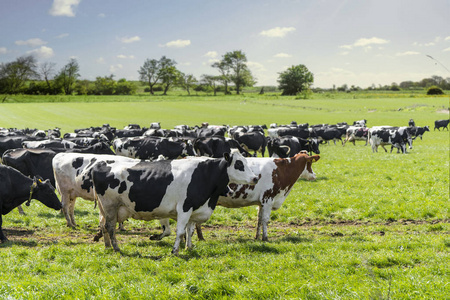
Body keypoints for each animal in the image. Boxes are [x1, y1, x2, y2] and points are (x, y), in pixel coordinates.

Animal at [90, 149, 258, 253]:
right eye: (239, 164)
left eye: (246, 162)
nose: (255, 178)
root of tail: (101, 164)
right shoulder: (184, 208)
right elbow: (180, 231)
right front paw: (175, 251)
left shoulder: (193, 209)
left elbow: (189, 230)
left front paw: (189, 247)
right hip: (110, 206)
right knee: (110, 227)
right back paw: (116, 248)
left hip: (105, 208)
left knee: (103, 225)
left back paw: (107, 246)